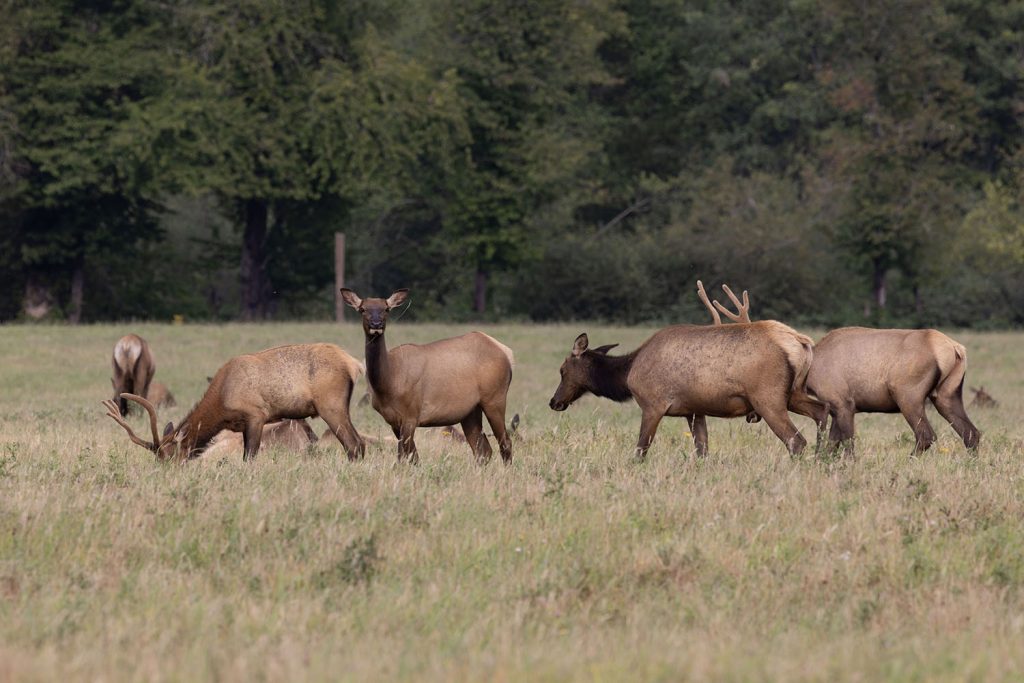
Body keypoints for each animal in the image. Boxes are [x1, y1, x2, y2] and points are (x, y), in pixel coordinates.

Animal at [103, 343, 365, 461]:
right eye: (157, 459)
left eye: (170, 457)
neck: (221, 403)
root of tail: (354, 364)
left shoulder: (256, 415)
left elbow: (249, 456)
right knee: (360, 443)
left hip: (331, 405)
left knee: (353, 445)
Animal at [340, 288, 515, 464]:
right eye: (362, 309)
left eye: (386, 309)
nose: (376, 324)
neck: (389, 382)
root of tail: (506, 352)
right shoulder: (394, 421)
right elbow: (409, 457)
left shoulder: (411, 414)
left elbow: (407, 457)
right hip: (470, 410)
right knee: (483, 450)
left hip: (495, 397)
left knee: (505, 442)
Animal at [547, 320, 818, 459]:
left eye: (562, 370)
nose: (554, 402)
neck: (627, 373)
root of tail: (801, 342)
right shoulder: (694, 410)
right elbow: (702, 451)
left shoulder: (653, 404)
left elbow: (641, 449)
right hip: (794, 394)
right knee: (822, 412)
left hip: (767, 398)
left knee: (797, 441)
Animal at [696, 283, 980, 455]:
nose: (750, 415)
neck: (810, 372)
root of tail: (955, 349)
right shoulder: (836, 406)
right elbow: (833, 444)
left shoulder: (842, 401)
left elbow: (847, 444)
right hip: (947, 394)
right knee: (972, 434)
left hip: (908, 393)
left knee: (926, 435)